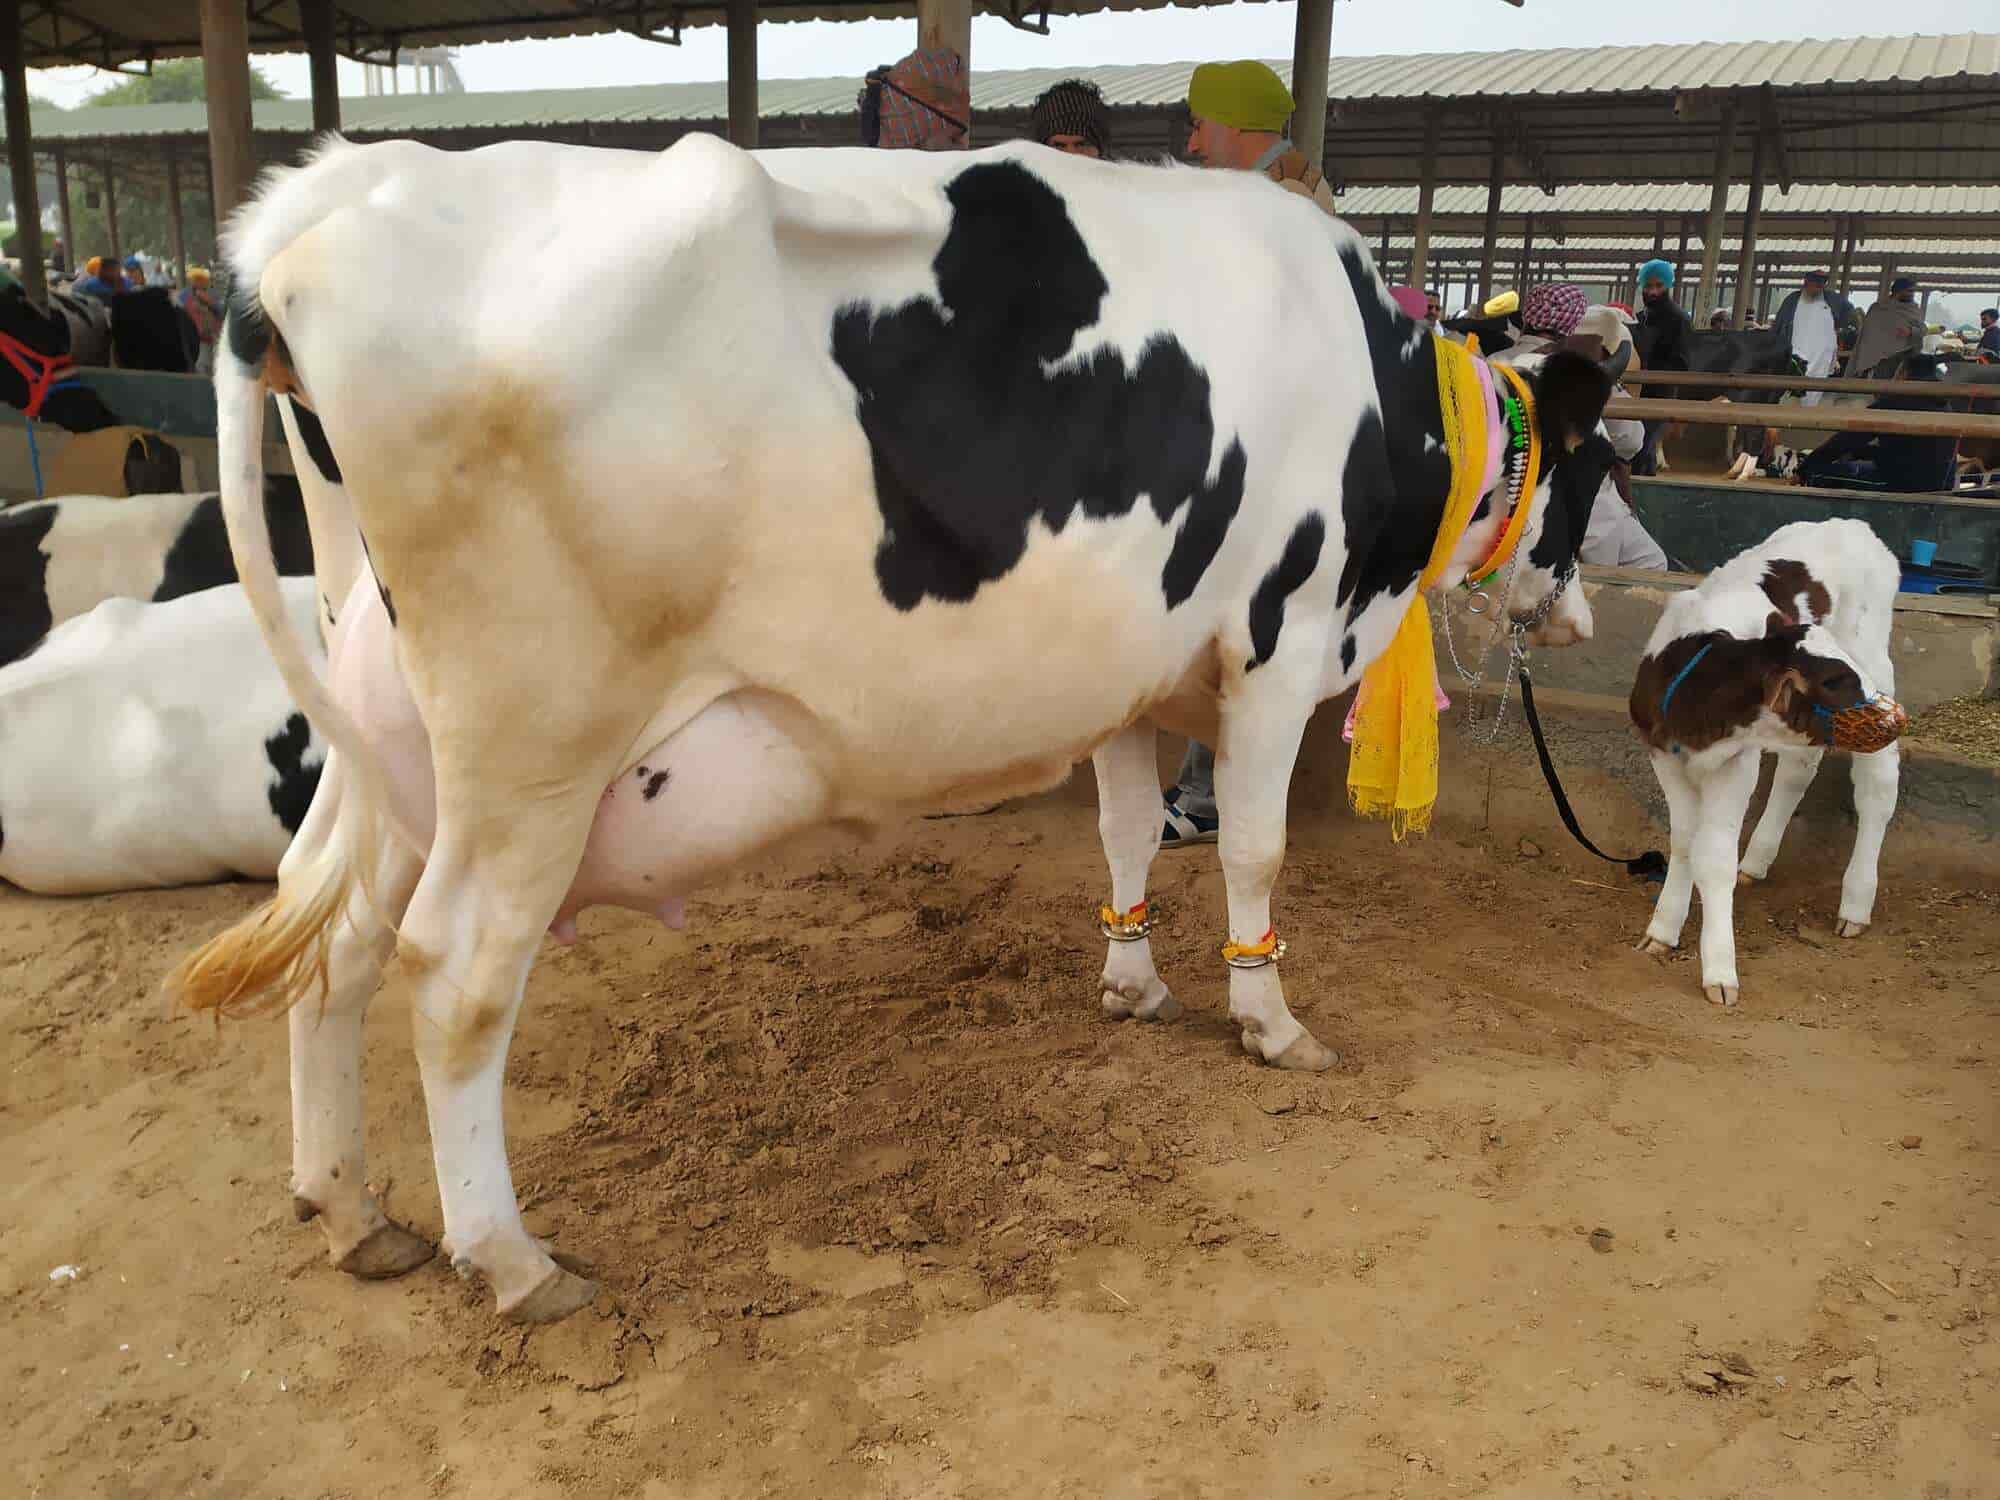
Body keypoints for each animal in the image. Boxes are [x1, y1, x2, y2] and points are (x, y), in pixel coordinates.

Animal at [166, 136, 1622, 1321]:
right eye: (1600, 467)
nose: (1579, 616)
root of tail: (333, 199)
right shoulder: (1279, 641)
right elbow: (1256, 857)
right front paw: (1270, 1022)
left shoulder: (1127, 672)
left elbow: (1125, 835)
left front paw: (1132, 983)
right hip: (532, 742)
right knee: (457, 973)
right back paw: (511, 1260)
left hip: (386, 716)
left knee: (333, 930)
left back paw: (351, 1209)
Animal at [1629, 520, 1903, 1007]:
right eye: (1834, 680)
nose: (1894, 714)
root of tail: (1854, 525)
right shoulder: (1663, 756)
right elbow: (1684, 842)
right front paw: (1663, 929)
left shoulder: (1737, 764)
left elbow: (1713, 856)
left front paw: (1720, 969)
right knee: (1799, 768)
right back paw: (1756, 861)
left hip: (1875, 653)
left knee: (1877, 787)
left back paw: (1856, 902)